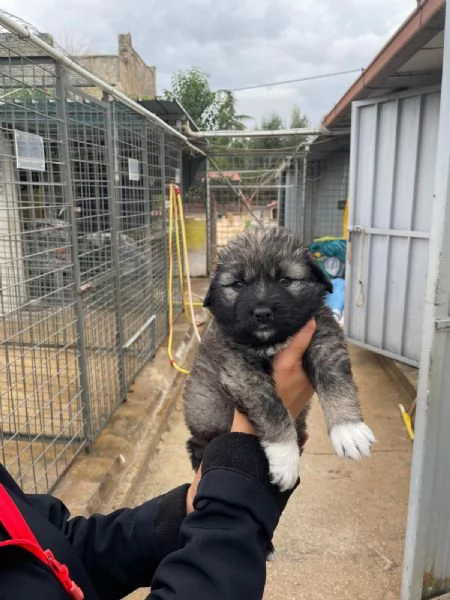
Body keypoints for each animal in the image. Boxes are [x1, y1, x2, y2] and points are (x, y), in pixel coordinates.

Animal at [183, 227, 376, 490]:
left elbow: (334, 378)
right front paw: (285, 457)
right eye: (238, 284)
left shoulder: (324, 335)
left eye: (285, 280)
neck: (272, 341)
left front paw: (348, 428)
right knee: (196, 441)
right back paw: (200, 457)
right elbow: (272, 407)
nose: (262, 313)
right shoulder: (240, 369)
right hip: (204, 413)